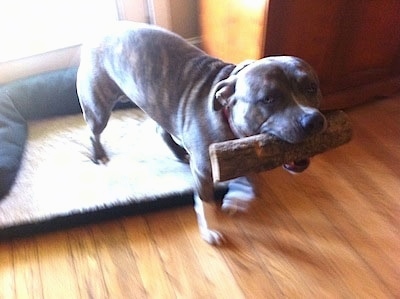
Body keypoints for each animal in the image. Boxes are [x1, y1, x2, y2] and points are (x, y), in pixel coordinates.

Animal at [76, 21, 326, 246]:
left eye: (312, 88)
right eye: (268, 99)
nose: (313, 120)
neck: (227, 111)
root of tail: (100, 30)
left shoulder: (249, 154)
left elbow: (249, 179)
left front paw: (238, 197)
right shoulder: (204, 170)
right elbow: (206, 202)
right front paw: (210, 231)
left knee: (161, 129)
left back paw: (179, 153)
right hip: (98, 108)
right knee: (93, 132)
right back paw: (98, 155)